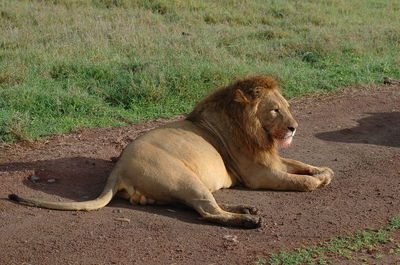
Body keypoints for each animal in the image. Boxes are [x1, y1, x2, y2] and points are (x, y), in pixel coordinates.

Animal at [10, 73, 334, 227]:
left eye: (288, 107)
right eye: (275, 110)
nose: (294, 127)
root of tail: (118, 168)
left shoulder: (270, 159)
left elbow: (297, 162)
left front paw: (323, 169)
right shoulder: (258, 173)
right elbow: (299, 181)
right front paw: (318, 179)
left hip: (183, 186)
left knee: (205, 205)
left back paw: (246, 209)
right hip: (183, 177)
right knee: (208, 212)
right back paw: (249, 220)